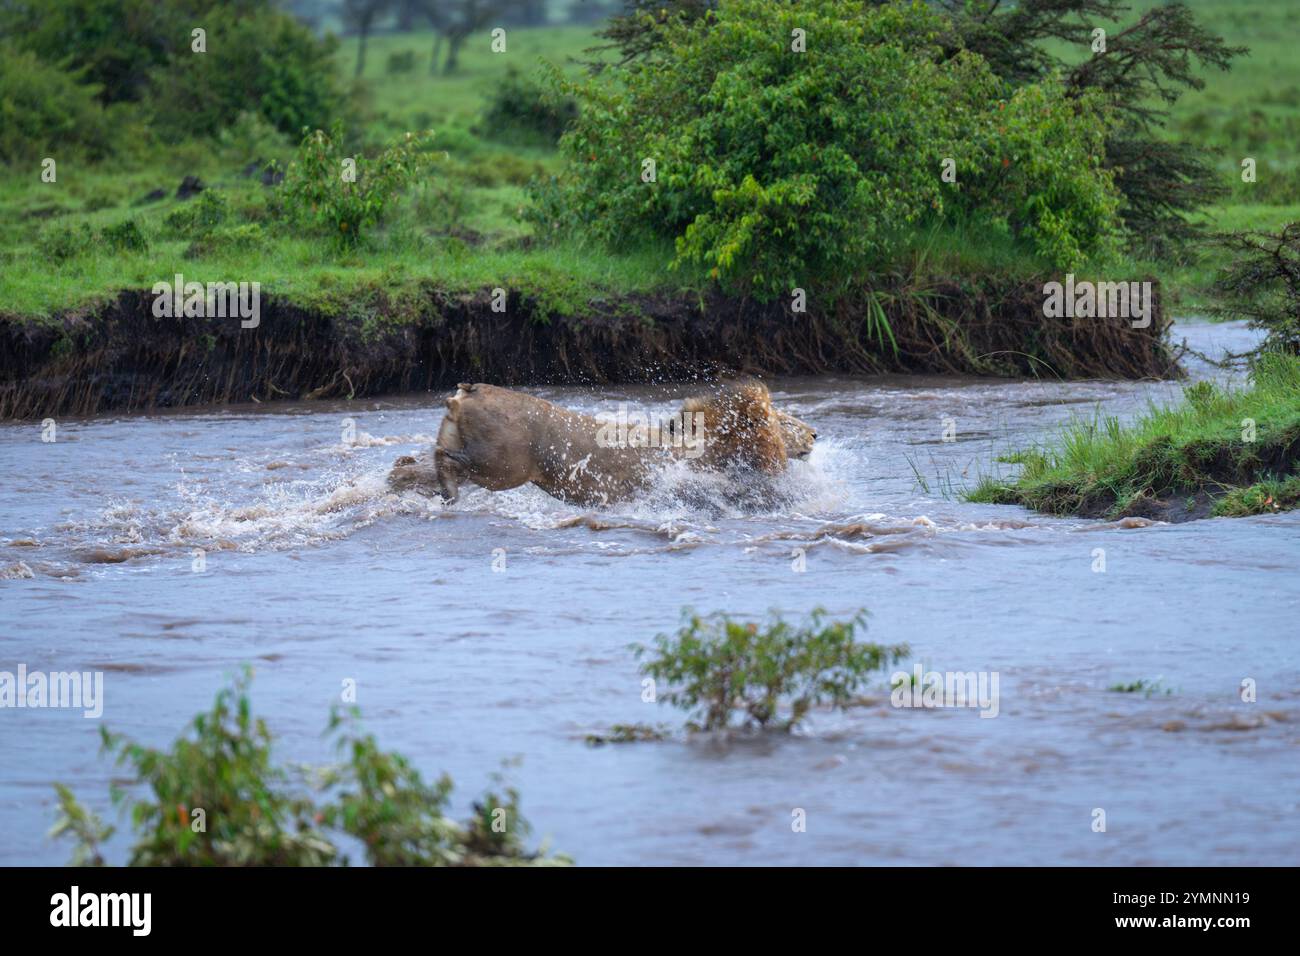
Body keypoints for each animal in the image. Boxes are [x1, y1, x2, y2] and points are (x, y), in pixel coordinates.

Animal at [384, 379, 811, 509]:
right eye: (784, 420)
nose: (814, 433)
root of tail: (469, 390)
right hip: (504, 465)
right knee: (446, 458)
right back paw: (447, 489)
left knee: (422, 462)